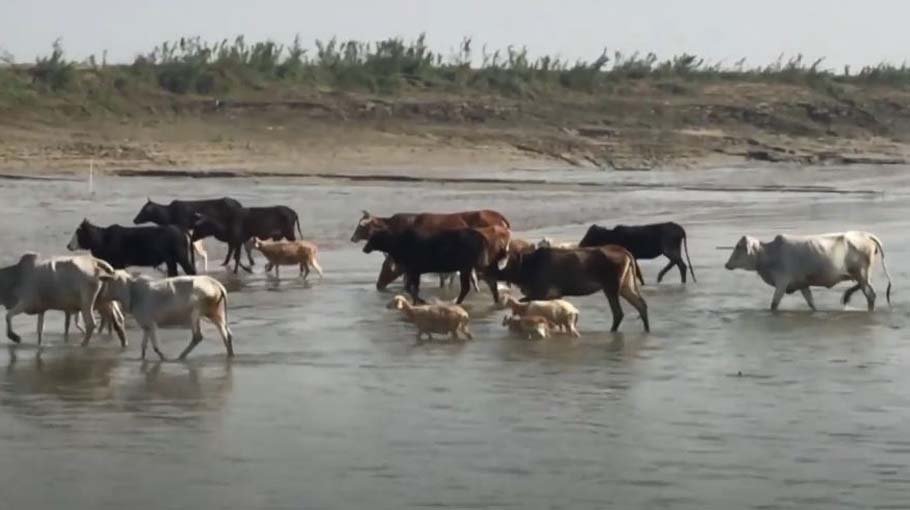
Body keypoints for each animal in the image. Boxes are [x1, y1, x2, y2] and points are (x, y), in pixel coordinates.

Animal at [67, 219, 196, 277]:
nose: (68, 246)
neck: (104, 239)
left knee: (191, 271)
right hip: (171, 260)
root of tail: (179, 229)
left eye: (79, 233)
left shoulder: (117, 264)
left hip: (181, 257)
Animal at [363, 228, 504, 305]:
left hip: (468, 265)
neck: (396, 246)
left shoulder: (414, 269)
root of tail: (483, 239)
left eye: (373, 237)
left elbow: (411, 288)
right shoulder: (414, 270)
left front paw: (421, 301)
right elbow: (411, 288)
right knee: (487, 282)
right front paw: (418, 301)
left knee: (468, 286)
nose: (365, 248)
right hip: (472, 265)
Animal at [491, 246, 649, 332]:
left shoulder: (543, 292)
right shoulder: (554, 295)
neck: (524, 269)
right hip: (625, 285)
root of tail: (625, 252)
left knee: (618, 313)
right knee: (641, 304)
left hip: (611, 287)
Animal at [723, 231, 893, 311]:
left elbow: (774, 304)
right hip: (861, 276)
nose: (726, 264)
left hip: (862, 274)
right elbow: (811, 303)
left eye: (738, 246)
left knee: (871, 295)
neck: (769, 254)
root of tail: (865, 234)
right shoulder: (802, 284)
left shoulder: (782, 283)